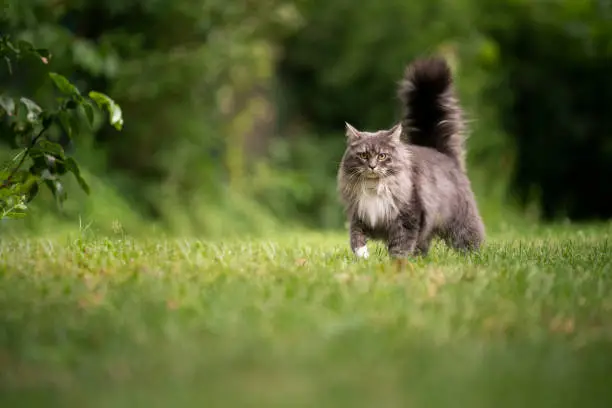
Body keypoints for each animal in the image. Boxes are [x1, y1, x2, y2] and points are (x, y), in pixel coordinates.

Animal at [338, 55, 486, 258]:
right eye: (364, 155)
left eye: (382, 156)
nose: (372, 166)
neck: (375, 187)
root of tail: (440, 151)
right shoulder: (360, 216)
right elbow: (356, 238)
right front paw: (363, 257)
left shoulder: (409, 217)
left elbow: (400, 245)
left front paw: (397, 262)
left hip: (461, 221)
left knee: (470, 238)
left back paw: (474, 256)